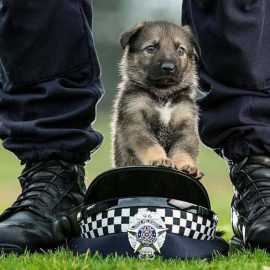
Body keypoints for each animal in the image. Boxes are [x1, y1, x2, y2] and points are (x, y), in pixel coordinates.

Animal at [112, 21, 202, 179]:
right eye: (151, 48)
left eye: (180, 50)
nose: (168, 67)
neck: (163, 95)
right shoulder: (136, 121)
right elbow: (150, 145)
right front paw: (159, 159)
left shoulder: (186, 128)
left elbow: (183, 150)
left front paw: (187, 166)